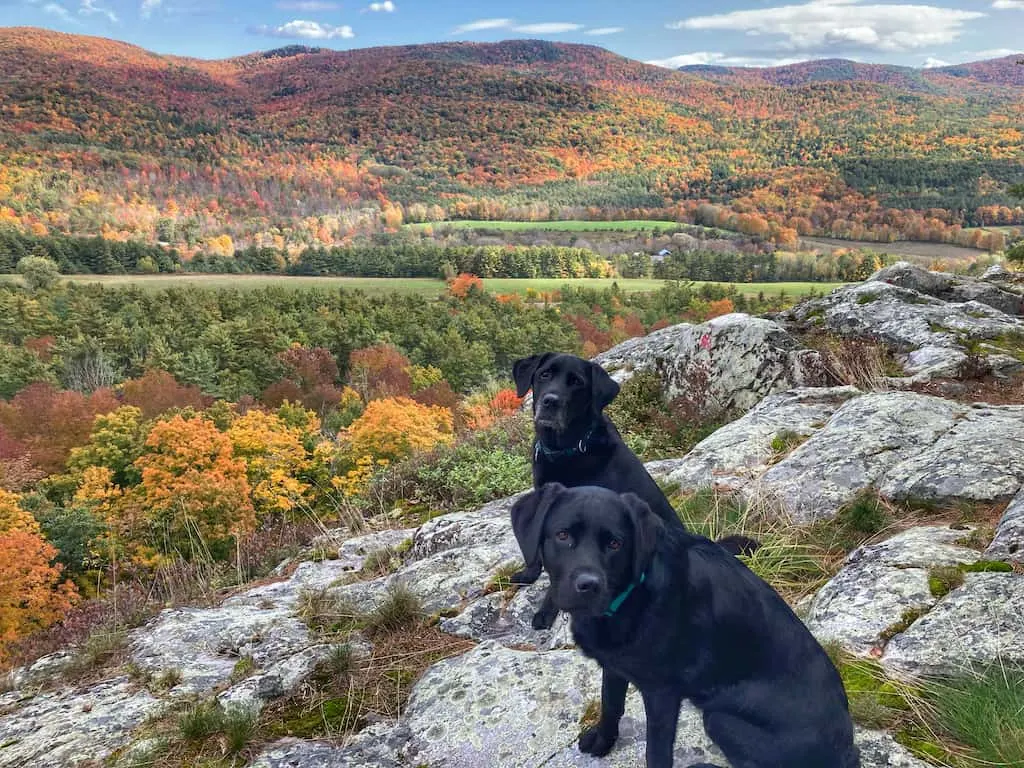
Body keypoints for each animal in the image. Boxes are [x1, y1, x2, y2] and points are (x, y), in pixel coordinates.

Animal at [509, 354, 753, 630]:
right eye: (545, 375)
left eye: (577, 383)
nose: (550, 401)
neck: (568, 448)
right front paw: (529, 573)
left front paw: (547, 609)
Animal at [509, 487, 856, 768]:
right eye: (563, 535)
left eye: (615, 543)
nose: (588, 585)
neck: (634, 594)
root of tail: (848, 753)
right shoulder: (615, 666)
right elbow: (610, 705)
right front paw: (603, 741)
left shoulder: (662, 692)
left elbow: (657, 753)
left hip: (721, 719)